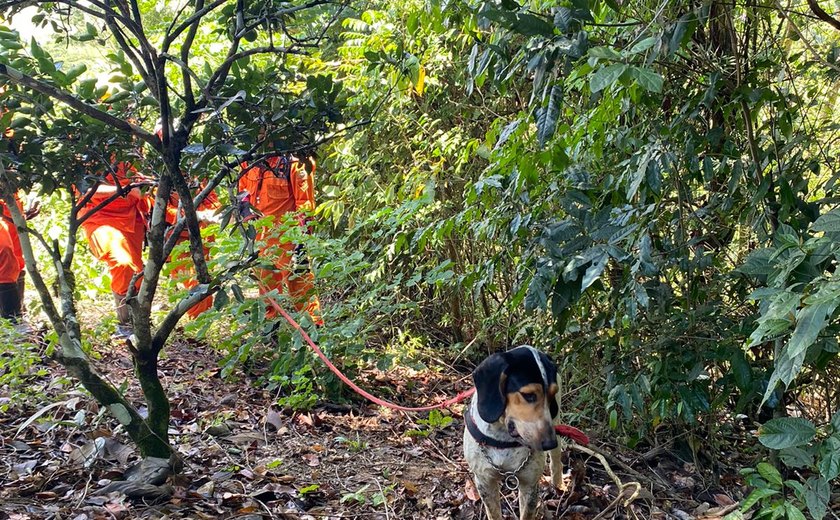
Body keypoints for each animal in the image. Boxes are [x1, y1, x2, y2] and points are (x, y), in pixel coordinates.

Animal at [460, 346, 564, 520]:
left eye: (551, 395)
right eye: (529, 395)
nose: (550, 443)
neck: (503, 440)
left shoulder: (529, 485)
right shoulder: (484, 483)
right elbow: (494, 513)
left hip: (556, 421)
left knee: (556, 459)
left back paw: (557, 483)